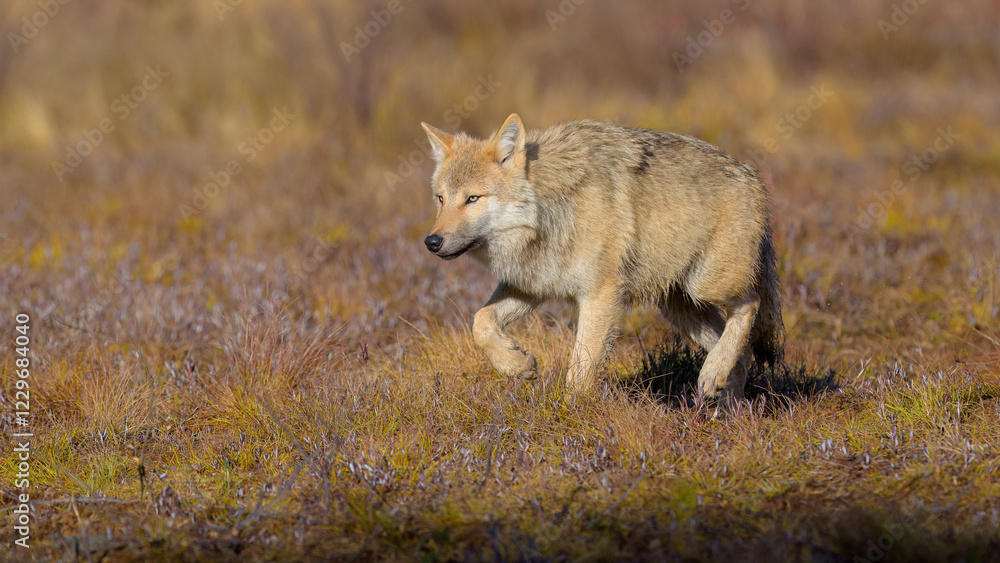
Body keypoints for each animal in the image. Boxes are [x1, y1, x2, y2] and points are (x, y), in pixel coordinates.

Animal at [420, 113, 783, 406]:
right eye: (440, 199)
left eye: (472, 198)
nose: (432, 242)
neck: (550, 210)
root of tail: (753, 177)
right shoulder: (531, 287)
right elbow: (480, 323)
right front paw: (516, 364)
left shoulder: (600, 295)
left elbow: (580, 371)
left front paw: (568, 418)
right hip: (681, 308)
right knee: (743, 354)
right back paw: (727, 411)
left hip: (706, 286)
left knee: (750, 304)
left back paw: (714, 378)